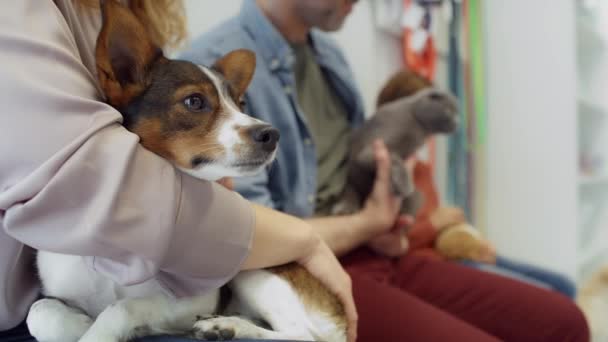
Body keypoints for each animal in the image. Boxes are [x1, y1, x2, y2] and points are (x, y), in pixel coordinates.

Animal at [25, 1, 346, 340]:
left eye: (241, 104)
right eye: (194, 101)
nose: (272, 134)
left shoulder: (189, 301)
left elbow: (123, 306)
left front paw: (95, 330)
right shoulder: (53, 293)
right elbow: (40, 312)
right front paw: (79, 323)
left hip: (254, 270)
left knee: (298, 334)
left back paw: (227, 325)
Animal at [330, 70, 458, 216]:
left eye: (457, 113)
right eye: (449, 112)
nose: (457, 123)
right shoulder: (372, 149)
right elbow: (394, 158)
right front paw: (403, 183)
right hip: (351, 181)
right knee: (350, 192)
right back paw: (344, 208)